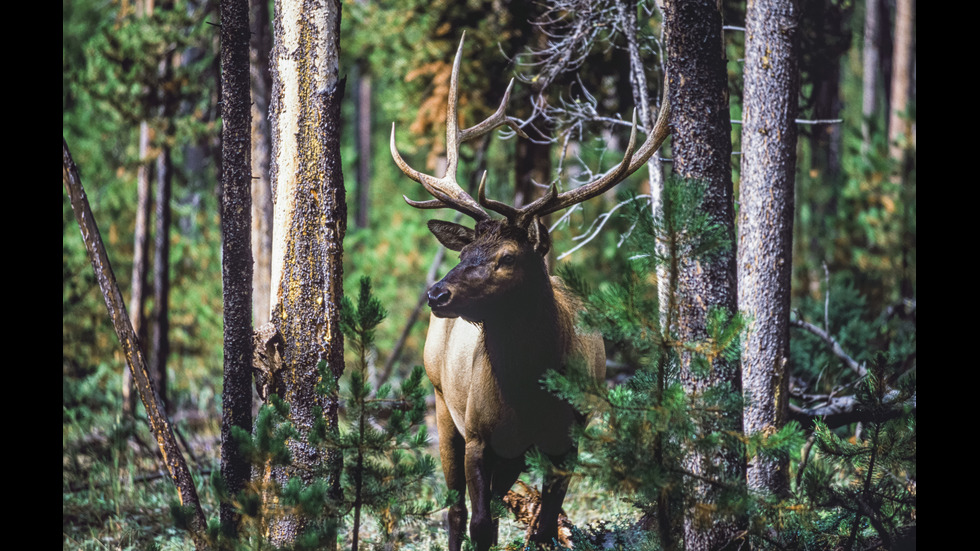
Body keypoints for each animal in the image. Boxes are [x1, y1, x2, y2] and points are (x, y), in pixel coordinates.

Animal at [392, 35, 672, 551]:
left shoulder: (568, 439)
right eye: (466, 252)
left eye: (507, 258)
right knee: (454, 511)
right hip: (441, 402)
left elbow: (543, 526)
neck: (527, 393)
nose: (437, 294)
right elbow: (480, 523)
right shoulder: (478, 435)